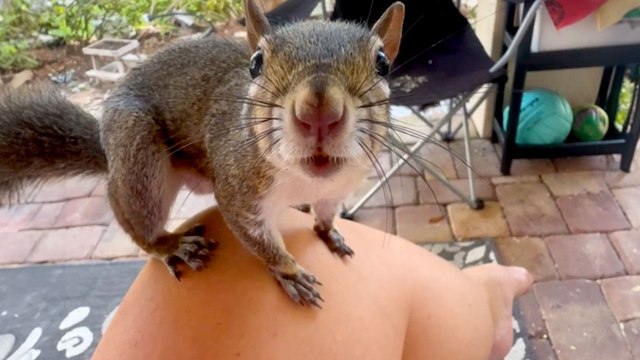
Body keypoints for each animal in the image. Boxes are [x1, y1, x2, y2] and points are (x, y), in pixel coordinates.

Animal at [0, 0, 402, 306]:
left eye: (382, 63)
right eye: (256, 63)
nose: (319, 112)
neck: (306, 180)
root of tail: (107, 148)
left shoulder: (339, 188)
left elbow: (326, 214)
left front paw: (329, 232)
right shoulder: (238, 190)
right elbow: (259, 239)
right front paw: (289, 271)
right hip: (137, 153)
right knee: (133, 215)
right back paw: (170, 243)